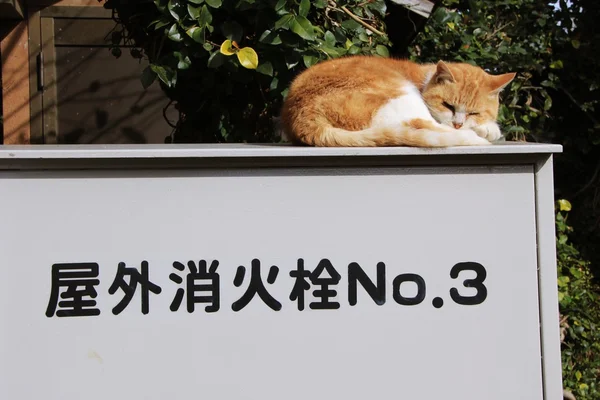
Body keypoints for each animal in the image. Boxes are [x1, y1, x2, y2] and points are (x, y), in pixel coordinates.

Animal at [278, 55, 512, 147]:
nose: (458, 123)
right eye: (447, 105)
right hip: (399, 93)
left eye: (474, 113)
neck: (424, 79)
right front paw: (484, 131)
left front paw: (487, 127)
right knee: (420, 124)